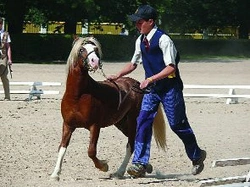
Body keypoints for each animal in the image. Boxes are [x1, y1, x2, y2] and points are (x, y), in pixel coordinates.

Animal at [50, 35, 167, 180]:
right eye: (82, 49)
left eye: (95, 49)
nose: (95, 61)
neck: (78, 96)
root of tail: (138, 85)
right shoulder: (68, 125)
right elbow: (62, 147)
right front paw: (55, 174)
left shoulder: (95, 126)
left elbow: (91, 151)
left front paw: (103, 166)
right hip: (121, 123)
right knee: (134, 140)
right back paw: (143, 167)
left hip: (133, 121)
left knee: (131, 144)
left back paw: (120, 172)